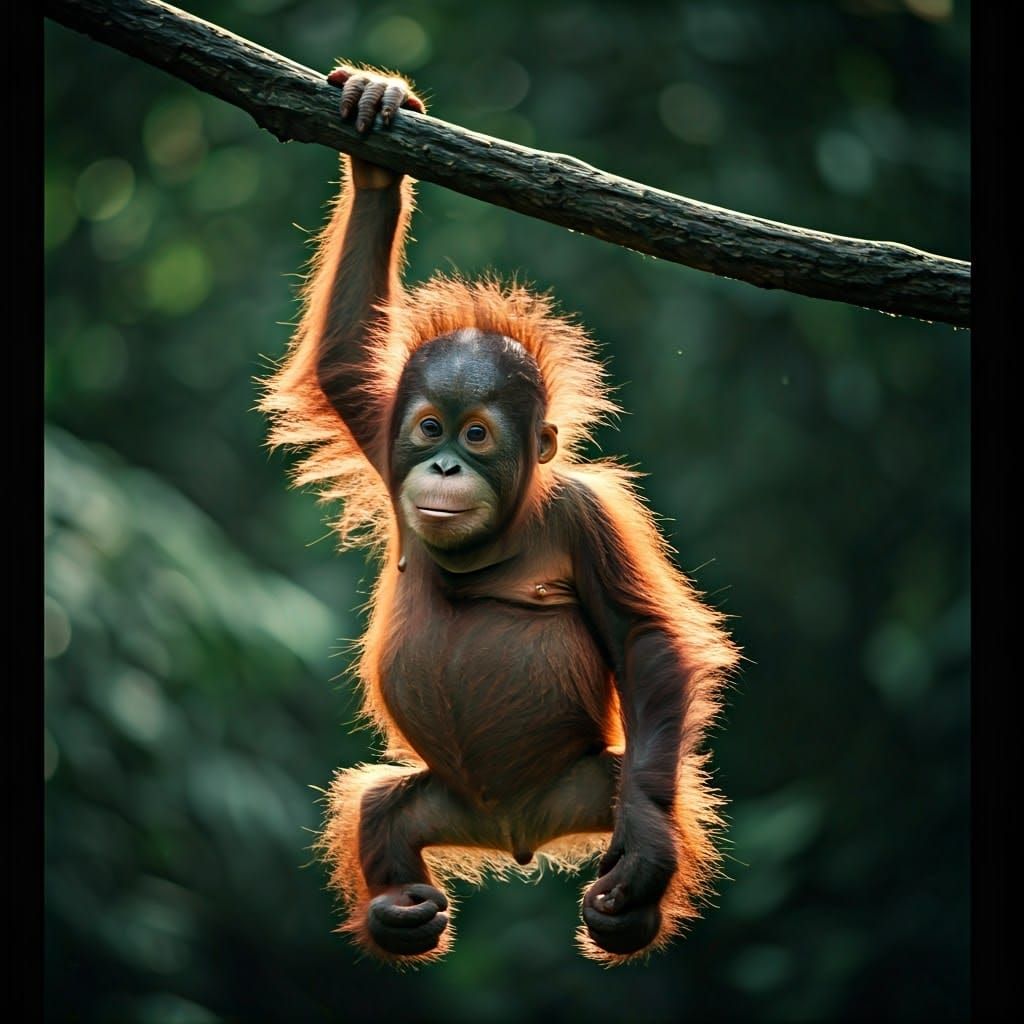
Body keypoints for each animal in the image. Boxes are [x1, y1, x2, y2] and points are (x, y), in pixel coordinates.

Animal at [260, 66, 739, 965]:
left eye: (477, 435)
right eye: (428, 428)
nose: (446, 464)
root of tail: (516, 832)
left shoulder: (591, 515)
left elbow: (642, 637)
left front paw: (646, 855)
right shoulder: (380, 431)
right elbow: (346, 360)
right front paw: (375, 135)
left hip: (586, 785)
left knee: (644, 796)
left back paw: (631, 908)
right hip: (443, 802)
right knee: (379, 808)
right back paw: (398, 913)